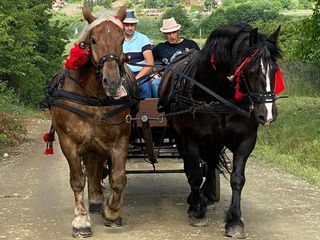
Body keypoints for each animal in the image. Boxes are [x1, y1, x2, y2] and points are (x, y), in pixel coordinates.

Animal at [46, 6, 138, 237]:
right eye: (93, 40)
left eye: (122, 40)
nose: (112, 82)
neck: (93, 95)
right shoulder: (68, 142)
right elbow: (77, 180)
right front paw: (81, 221)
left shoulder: (120, 140)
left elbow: (118, 179)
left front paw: (112, 212)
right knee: (91, 166)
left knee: (95, 165)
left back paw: (97, 200)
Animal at [159, 23, 282, 238]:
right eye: (252, 71)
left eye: (274, 70)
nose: (267, 114)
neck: (217, 95)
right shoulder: (190, 139)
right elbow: (194, 174)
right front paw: (197, 212)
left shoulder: (246, 139)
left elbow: (237, 179)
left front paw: (234, 221)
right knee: (193, 168)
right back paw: (196, 199)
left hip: (214, 141)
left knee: (211, 162)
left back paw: (207, 195)